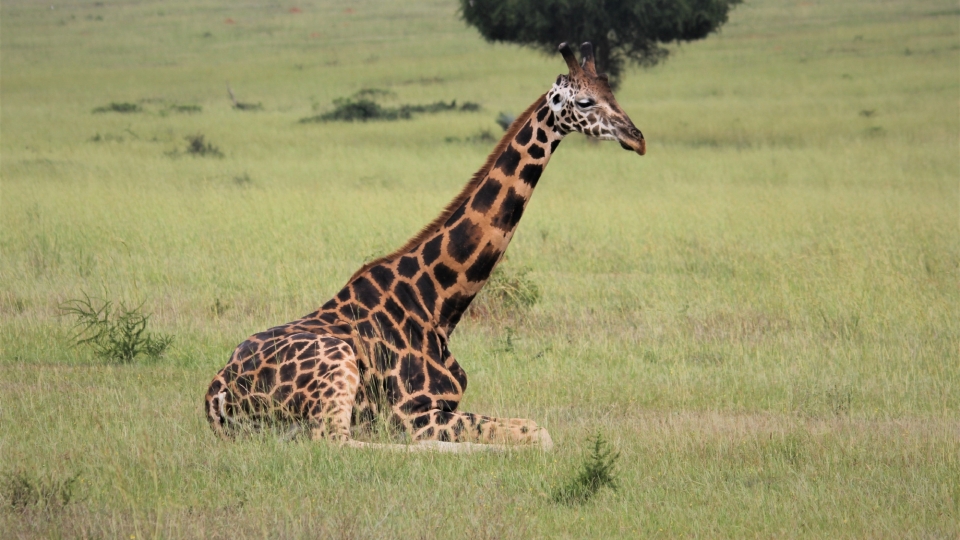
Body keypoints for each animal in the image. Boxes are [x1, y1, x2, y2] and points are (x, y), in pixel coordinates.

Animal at [202, 43, 644, 452]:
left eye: (612, 90)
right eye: (584, 101)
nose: (636, 138)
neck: (438, 304)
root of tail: (217, 393)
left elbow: (533, 429)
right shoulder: (415, 412)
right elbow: (538, 433)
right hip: (338, 369)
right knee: (340, 443)